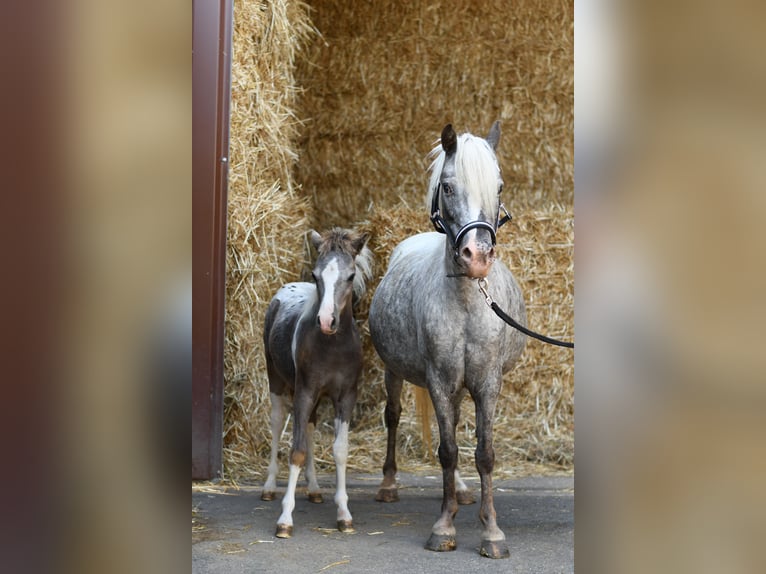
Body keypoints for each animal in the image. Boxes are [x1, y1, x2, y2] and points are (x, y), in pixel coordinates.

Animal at [261, 227, 372, 538]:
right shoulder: (304, 392)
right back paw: (269, 487)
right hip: (276, 380)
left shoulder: (345, 396)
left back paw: (313, 489)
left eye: (350, 276)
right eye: (315, 274)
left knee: (309, 428)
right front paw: (285, 519)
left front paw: (344, 515)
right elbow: (296, 451)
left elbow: (340, 451)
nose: (326, 321)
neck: (332, 346)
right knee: (277, 423)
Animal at [368, 122, 527, 559]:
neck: (467, 304)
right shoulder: (439, 381)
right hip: (394, 372)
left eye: (499, 187)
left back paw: (461, 492)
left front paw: (492, 532)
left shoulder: (487, 383)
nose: (477, 256)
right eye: (449, 187)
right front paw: (443, 528)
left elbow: (483, 453)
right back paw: (389, 485)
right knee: (393, 417)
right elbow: (447, 450)